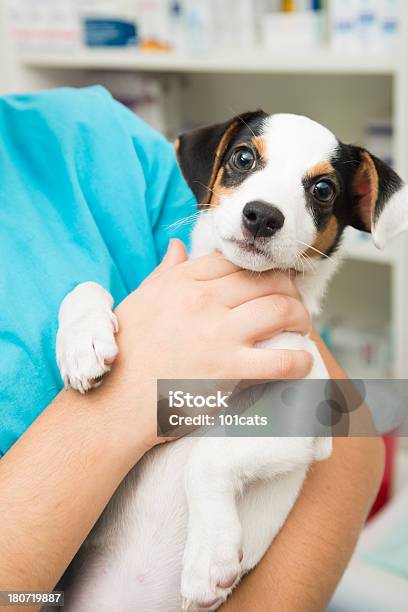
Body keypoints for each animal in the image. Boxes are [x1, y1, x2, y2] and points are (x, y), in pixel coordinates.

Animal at [55, 112, 408, 608]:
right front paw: (82, 343)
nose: (262, 215)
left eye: (323, 189)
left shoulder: (304, 417)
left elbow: (209, 456)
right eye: (243, 158)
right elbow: (86, 286)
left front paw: (208, 556)